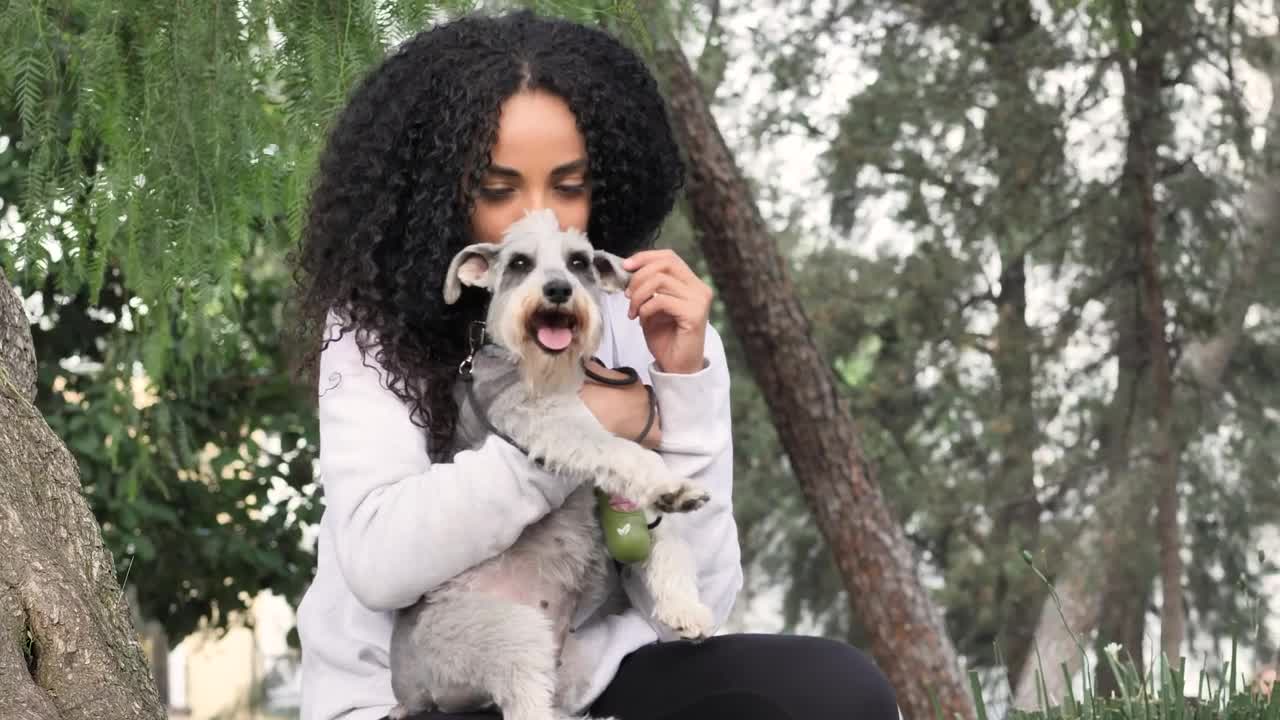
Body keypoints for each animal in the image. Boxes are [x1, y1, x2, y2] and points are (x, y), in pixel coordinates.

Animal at [384, 207, 716, 717]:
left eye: (579, 262)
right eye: (520, 263)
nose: (558, 289)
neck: (557, 373)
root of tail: (412, 694)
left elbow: (669, 539)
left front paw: (685, 607)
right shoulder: (552, 421)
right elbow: (618, 451)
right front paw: (672, 489)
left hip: (570, 661)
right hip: (509, 636)